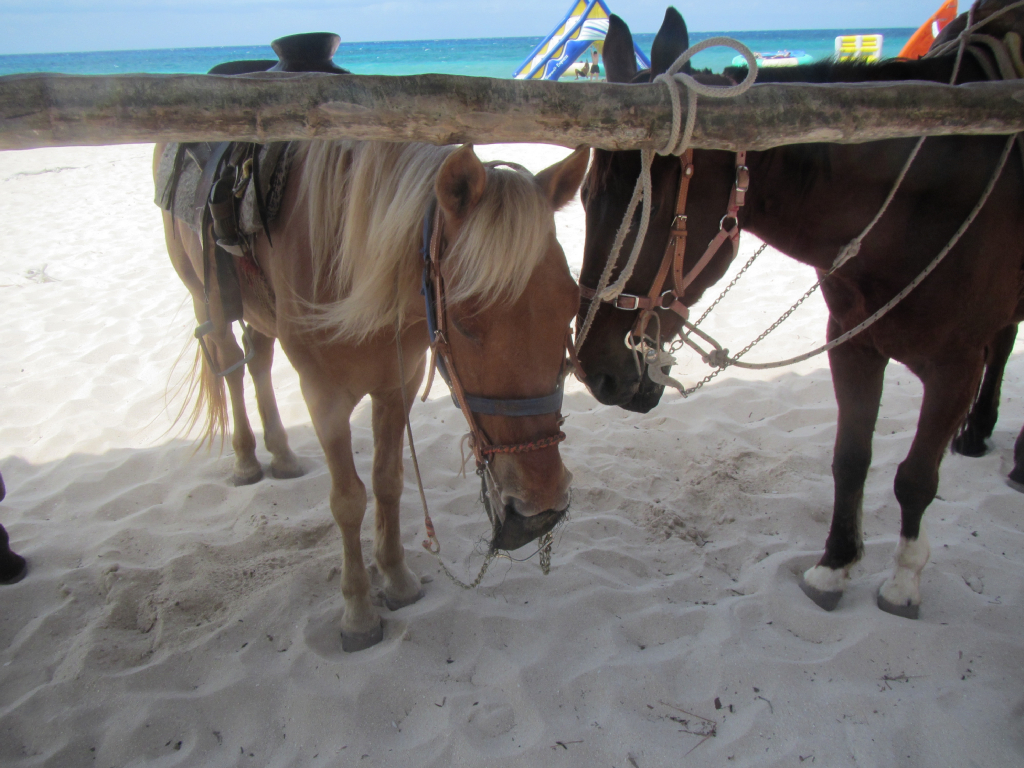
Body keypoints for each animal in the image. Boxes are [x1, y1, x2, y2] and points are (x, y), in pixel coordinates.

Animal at [160, 140, 593, 651]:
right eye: (465, 318)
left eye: (572, 303)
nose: (541, 506)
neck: (346, 258)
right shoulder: (324, 398)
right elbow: (348, 500)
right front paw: (358, 611)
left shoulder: (396, 384)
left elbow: (388, 481)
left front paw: (398, 580)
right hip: (205, 299)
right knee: (230, 363)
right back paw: (247, 458)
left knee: (258, 358)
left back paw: (281, 454)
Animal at [577, 7, 1024, 618]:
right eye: (583, 196)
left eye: (650, 204)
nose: (592, 370)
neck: (916, 202)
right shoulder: (853, 345)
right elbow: (851, 458)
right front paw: (834, 566)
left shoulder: (955, 367)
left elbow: (915, 477)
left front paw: (903, 582)